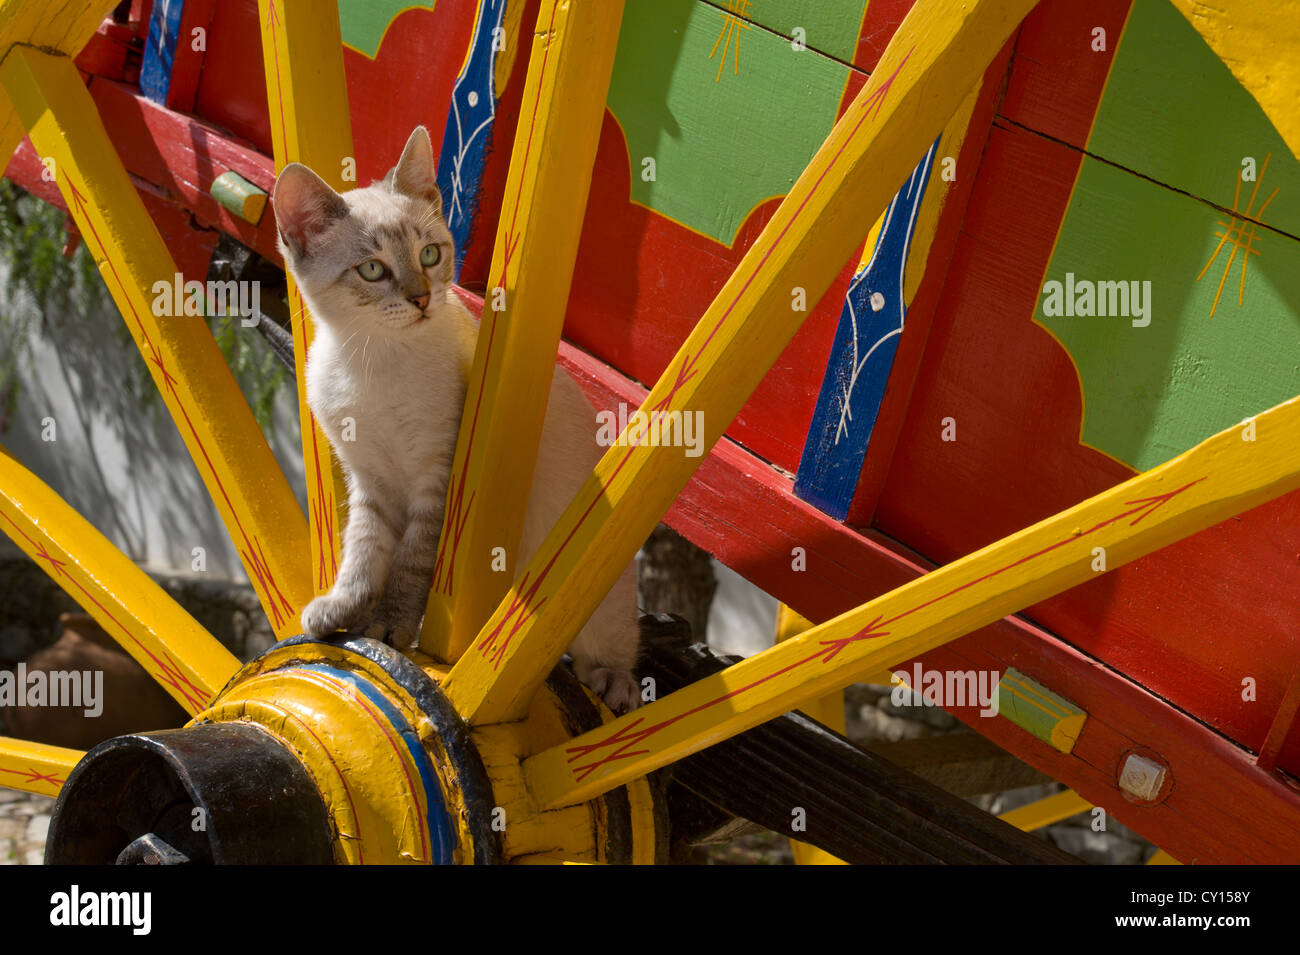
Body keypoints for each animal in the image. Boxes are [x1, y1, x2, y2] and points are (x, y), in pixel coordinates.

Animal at [270, 125, 644, 712]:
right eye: (373, 270)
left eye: (429, 255)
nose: (423, 299)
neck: (372, 363)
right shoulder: (369, 480)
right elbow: (363, 551)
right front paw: (341, 610)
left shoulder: (437, 475)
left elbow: (412, 563)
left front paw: (391, 629)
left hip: (593, 603)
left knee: (600, 650)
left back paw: (615, 684)